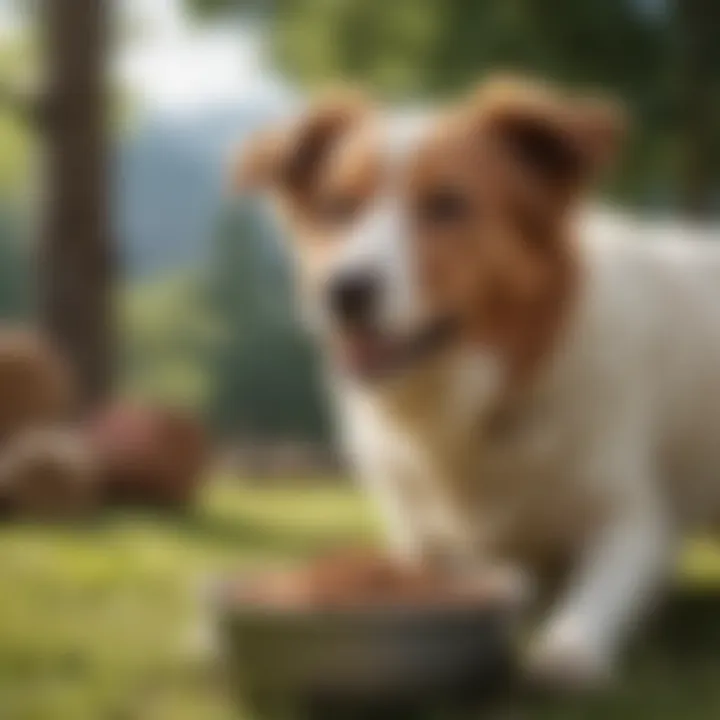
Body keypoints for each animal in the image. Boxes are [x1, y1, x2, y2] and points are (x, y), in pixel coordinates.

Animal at [233, 76, 720, 688]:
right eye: (337, 207)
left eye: (447, 203)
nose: (343, 291)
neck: (483, 398)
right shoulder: (422, 540)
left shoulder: (633, 520)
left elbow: (598, 590)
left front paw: (567, 646)